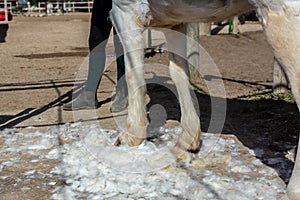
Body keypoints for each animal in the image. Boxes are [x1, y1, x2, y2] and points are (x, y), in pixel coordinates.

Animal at [110, 1, 300, 198]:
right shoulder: (174, 22)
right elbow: (178, 72)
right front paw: (188, 140)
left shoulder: (125, 11)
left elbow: (133, 74)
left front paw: (131, 135)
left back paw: (292, 192)